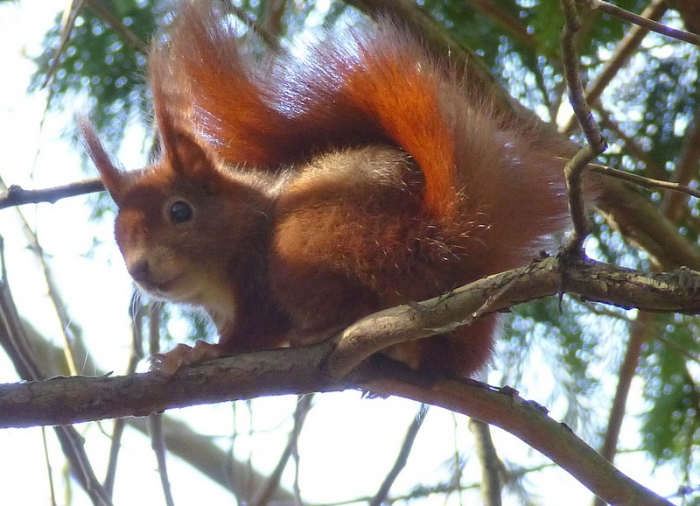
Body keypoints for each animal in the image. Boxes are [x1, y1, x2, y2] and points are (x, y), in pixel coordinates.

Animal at [81, 1, 582, 377]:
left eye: (180, 212)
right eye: (117, 236)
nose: (140, 270)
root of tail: (437, 243)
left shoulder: (258, 281)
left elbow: (253, 333)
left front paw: (199, 352)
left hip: (308, 240)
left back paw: (323, 330)